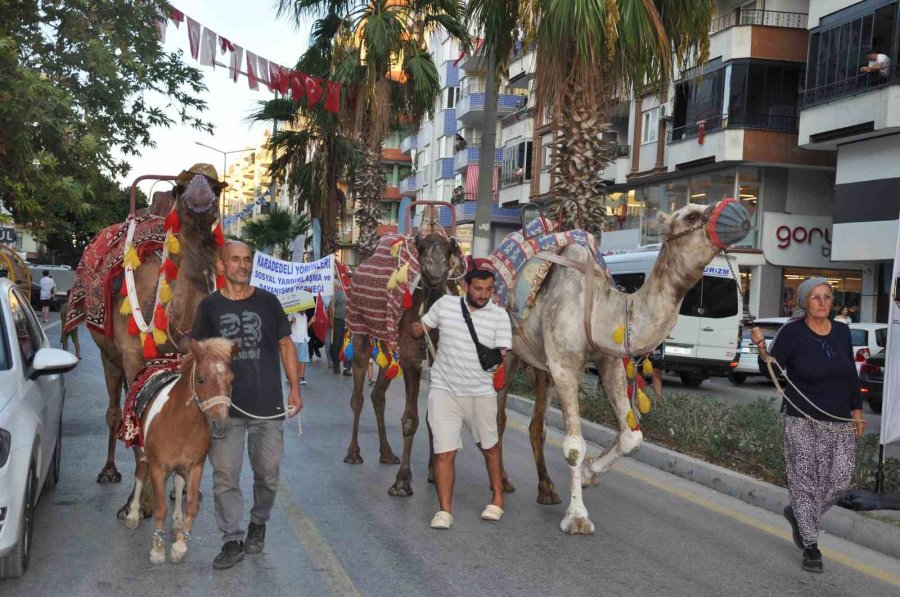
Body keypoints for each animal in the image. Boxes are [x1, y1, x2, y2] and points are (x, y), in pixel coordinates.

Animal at [65, 164, 227, 484]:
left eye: (216, 189)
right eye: (180, 188)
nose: (200, 195)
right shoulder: (132, 354)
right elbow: (138, 411)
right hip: (109, 355)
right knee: (115, 409)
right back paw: (109, 470)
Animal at [340, 203, 460, 496]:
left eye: (448, 248)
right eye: (422, 247)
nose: (436, 265)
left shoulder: (435, 362)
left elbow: (431, 417)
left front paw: (433, 472)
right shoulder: (412, 361)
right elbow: (410, 420)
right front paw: (403, 481)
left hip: (389, 350)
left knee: (378, 395)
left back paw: (386, 453)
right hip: (361, 334)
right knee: (358, 396)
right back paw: (353, 453)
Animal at [488, 198, 748, 532]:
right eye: (690, 215)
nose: (739, 211)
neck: (600, 307)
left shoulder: (608, 362)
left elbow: (632, 437)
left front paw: (589, 473)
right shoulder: (564, 367)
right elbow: (574, 446)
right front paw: (578, 517)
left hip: (538, 363)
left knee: (536, 424)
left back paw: (546, 490)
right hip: (507, 352)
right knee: (498, 416)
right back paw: (504, 482)